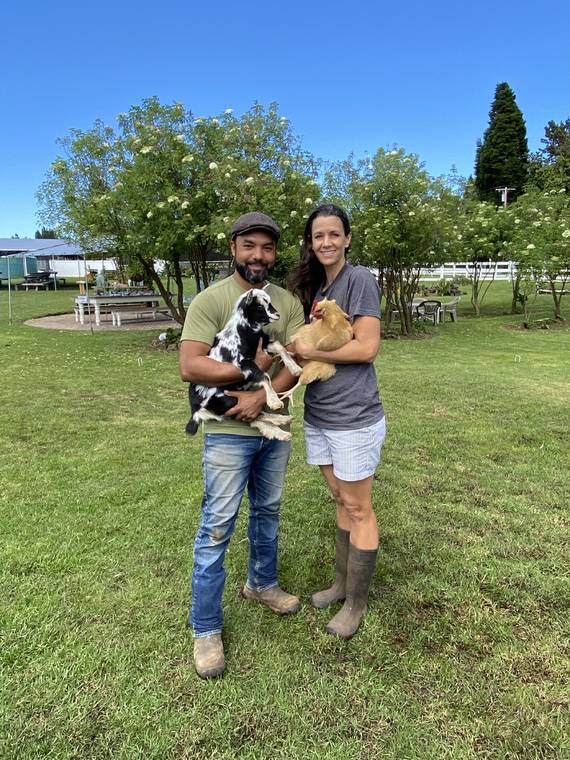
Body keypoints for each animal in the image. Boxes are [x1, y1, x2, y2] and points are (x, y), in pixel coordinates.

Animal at [185, 286, 302, 442]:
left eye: (269, 302)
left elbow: (280, 347)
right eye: (259, 306)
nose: (277, 314)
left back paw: (282, 421)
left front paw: (295, 369)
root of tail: (195, 410)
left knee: (254, 417)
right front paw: (274, 401)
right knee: (252, 418)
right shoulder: (242, 362)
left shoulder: (262, 344)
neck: (243, 330)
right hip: (228, 400)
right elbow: (264, 375)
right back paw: (280, 429)